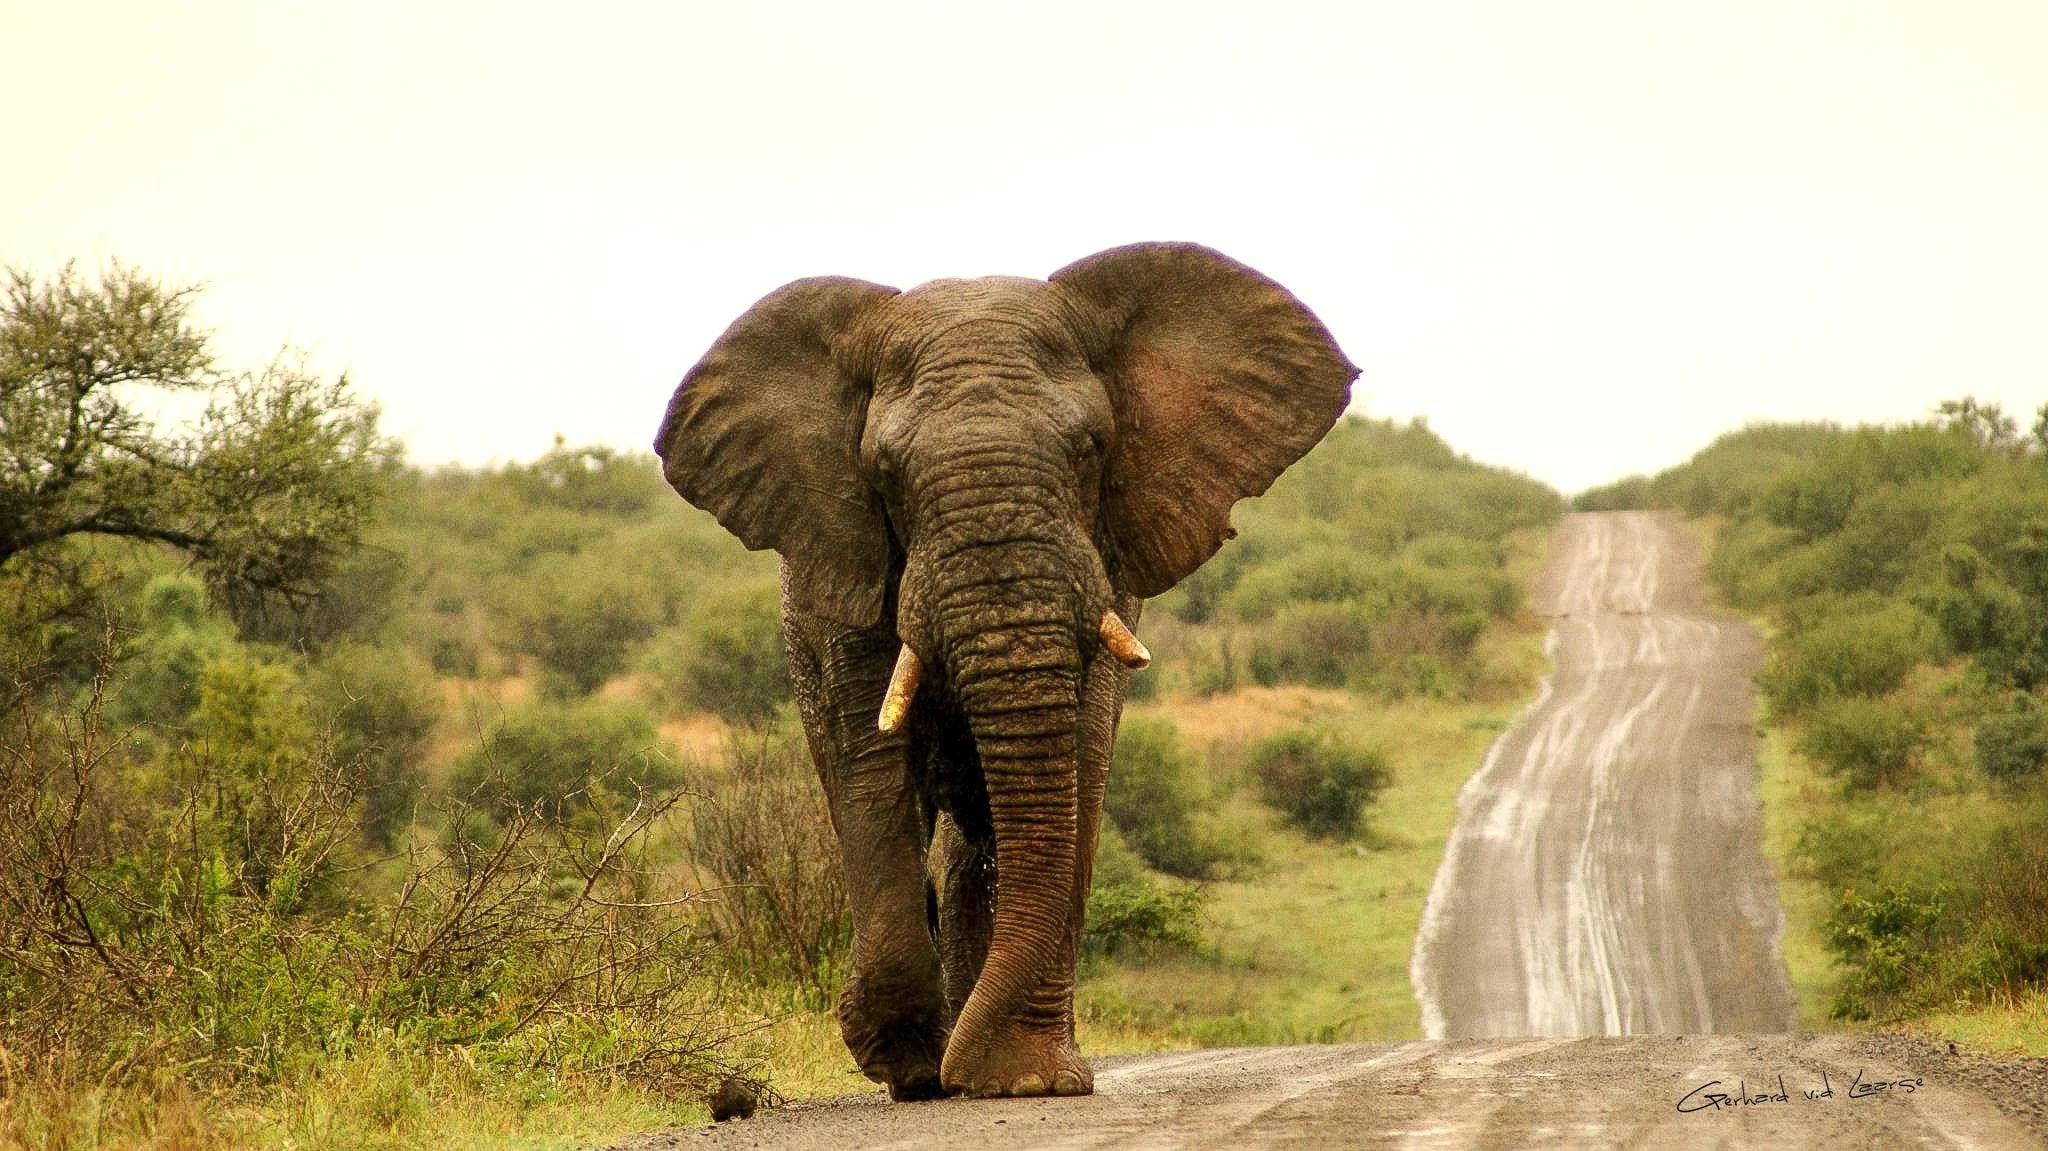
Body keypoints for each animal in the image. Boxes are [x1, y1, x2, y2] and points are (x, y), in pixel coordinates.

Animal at [654, 242, 1355, 1100]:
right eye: (886, 469)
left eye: (1090, 448)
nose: (951, 1070)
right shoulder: (849, 566)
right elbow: (872, 768)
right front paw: (905, 1061)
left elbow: (1078, 761)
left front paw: (1024, 1079)